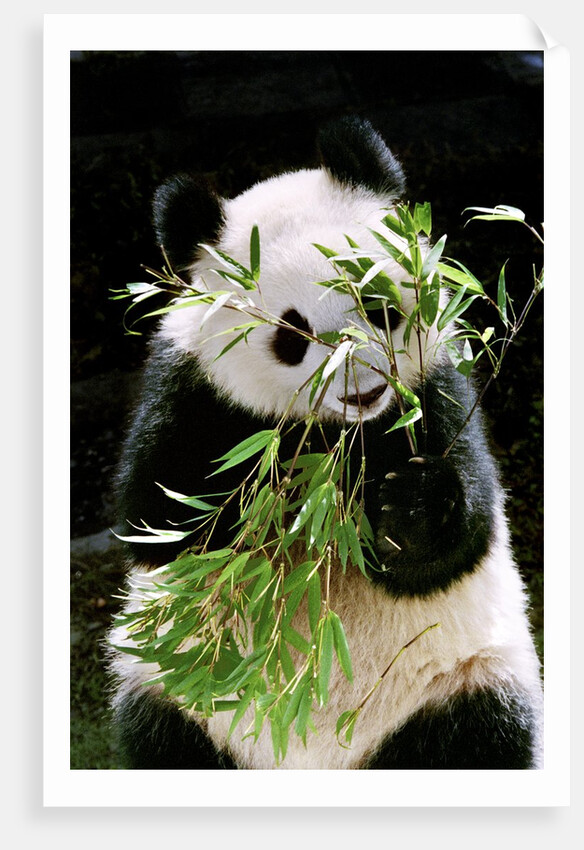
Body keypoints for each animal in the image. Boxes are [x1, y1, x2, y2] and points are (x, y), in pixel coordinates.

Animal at [108, 116, 543, 770]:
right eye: (293, 334)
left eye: (377, 303)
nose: (362, 385)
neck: (336, 434)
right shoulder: (188, 391)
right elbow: (165, 524)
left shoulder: (433, 390)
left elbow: (459, 536)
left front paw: (406, 506)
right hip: (178, 696)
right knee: (161, 735)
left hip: (460, 683)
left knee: (484, 734)